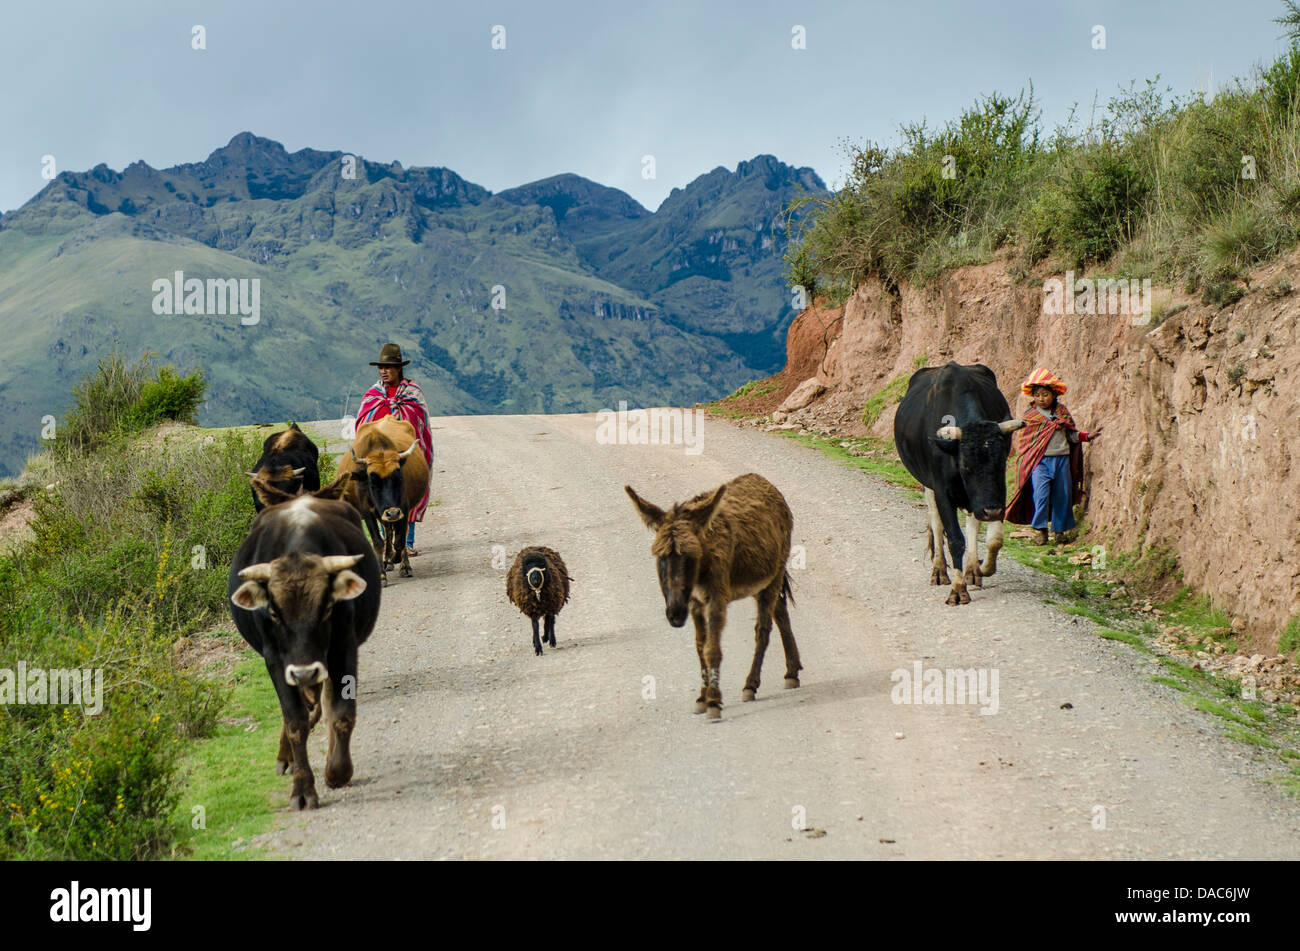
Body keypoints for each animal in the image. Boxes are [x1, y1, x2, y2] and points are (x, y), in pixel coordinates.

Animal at [226, 491, 379, 810]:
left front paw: (337, 772)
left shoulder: (343, 649)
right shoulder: (275, 660)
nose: (304, 671)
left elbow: (341, 711)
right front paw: (302, 788)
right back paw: (287, 757)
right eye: (273, 612)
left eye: (328, 607)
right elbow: (294, 719)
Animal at [338, 415, 428, 579]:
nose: (392, 513)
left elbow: (400, 540)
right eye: (372, 481)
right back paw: (387, 561)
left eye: (399, 478)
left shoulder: (403, 508)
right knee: (387, 530)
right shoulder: (367, 511)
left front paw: (399, 561)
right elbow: (378, 541)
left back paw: (401, 564)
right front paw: (381, 574)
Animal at [624, 472, 795, 722]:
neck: (700, 570)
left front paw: (713, 702)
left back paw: (751, 685)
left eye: (689, 557)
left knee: (763, 630)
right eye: (661, 557)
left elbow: (711, 649)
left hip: (774, 575)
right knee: (781, 613)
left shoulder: (716, 599)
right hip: (764, 582)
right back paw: (793, 671)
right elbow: (699, 647)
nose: (675, 615)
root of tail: (763, 481)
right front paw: (702, 698)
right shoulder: (695, 603)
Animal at [894, 361, 1024, 605]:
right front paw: (957, 589)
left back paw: (972, 568)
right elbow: (954, 539)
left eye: (1001, 462)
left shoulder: (996, 493)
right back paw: (939, 570)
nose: (991, 511)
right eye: (965, 466)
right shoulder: (942, 491)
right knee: (936, 524)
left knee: (972, 522)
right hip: (929, 486)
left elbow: (995, 539)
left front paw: (982, 569)